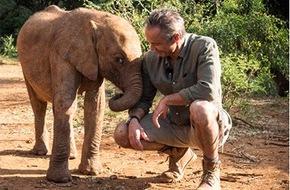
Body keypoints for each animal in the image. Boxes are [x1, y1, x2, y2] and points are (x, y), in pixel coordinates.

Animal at [16, 4, 142, 183]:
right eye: (119, 59)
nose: (117, 94)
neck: (97, 21)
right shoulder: (61, 55)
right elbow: (65, 103)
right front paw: (59, 180)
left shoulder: (94, 62)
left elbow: (95, 107)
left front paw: (91, 172)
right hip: (25, 67)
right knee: (39, 105)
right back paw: (40, 152)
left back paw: (71, 156)